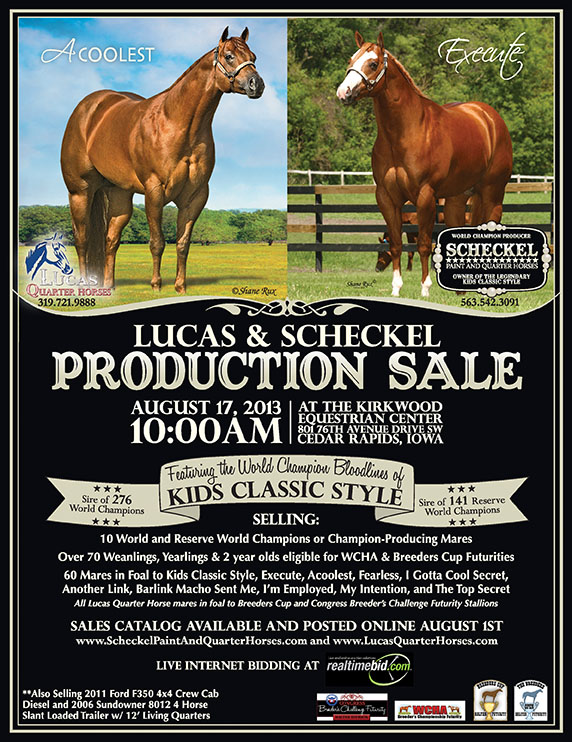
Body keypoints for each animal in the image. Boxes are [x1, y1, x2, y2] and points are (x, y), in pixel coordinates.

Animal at [61, 27, 264, 294]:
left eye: (253, 56)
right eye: (229, 56)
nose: (256, 85)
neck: (176, 123)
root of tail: (87, 108)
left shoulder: (195, 196)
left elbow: (183, 244)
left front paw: (180, 287)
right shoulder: (154, 191)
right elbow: (157, 242)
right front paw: (156, 285)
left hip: (119, 195)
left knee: (110, 240)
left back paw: (108, 286)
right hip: (80, 191)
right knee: (82, 239)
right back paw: (85, 284)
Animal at [336, 30, 513, 298]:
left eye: (373, 64)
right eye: (351, 59)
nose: (343, 92)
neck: (406, 132)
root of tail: (490, 118)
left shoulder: (425, 196)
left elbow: (423, 245)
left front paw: (425, 289)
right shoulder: (387, 197)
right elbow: (397, 244)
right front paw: (396, 289)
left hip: (493, 192)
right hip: (457, 199)